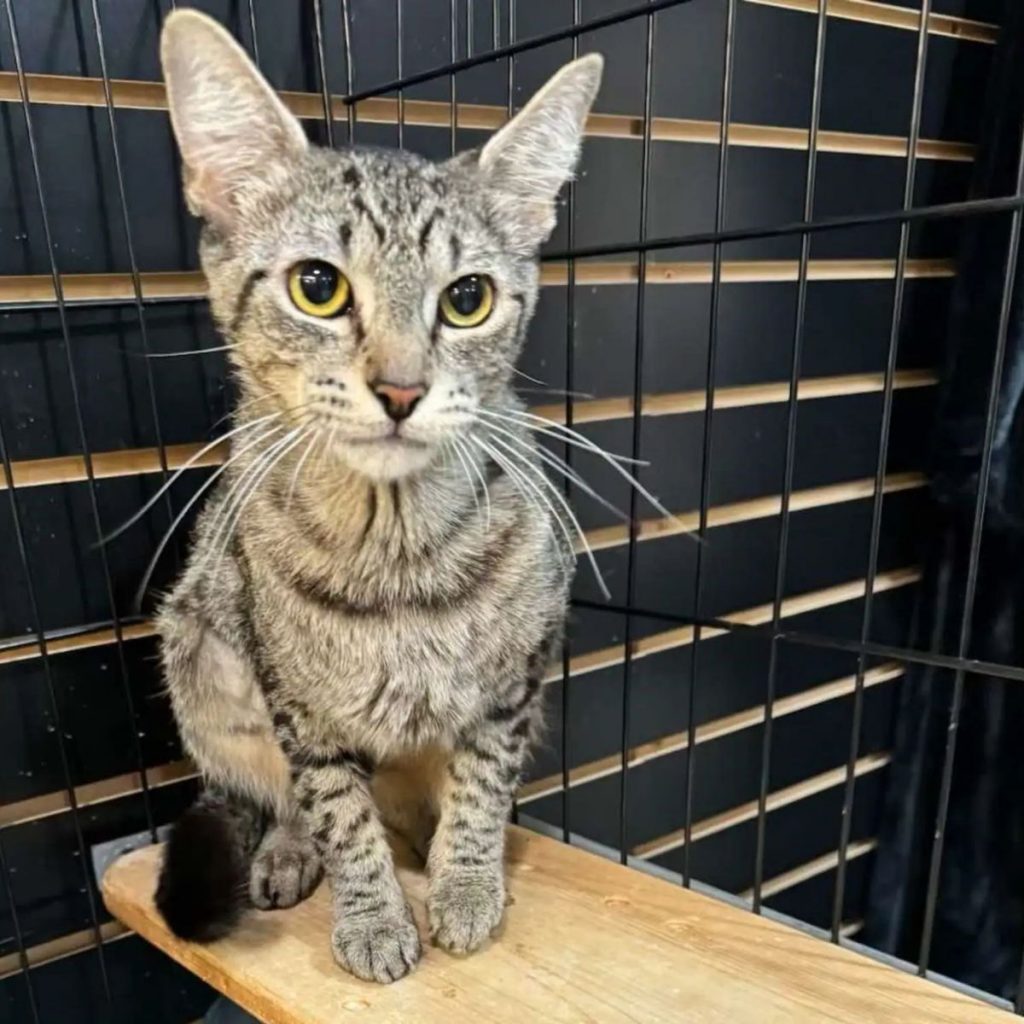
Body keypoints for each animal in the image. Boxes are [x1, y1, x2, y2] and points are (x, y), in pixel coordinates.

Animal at [151, 6, 598, 983]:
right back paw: (287, 850)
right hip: (200, 651)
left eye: (467, 299)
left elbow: (480, 784)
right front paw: (371, 913)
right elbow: (337, 811)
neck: (392, 552)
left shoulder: (514, 682)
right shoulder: (297, 706)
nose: (400, 389)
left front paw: (467, 881)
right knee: (274, 793)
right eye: (318, 286)